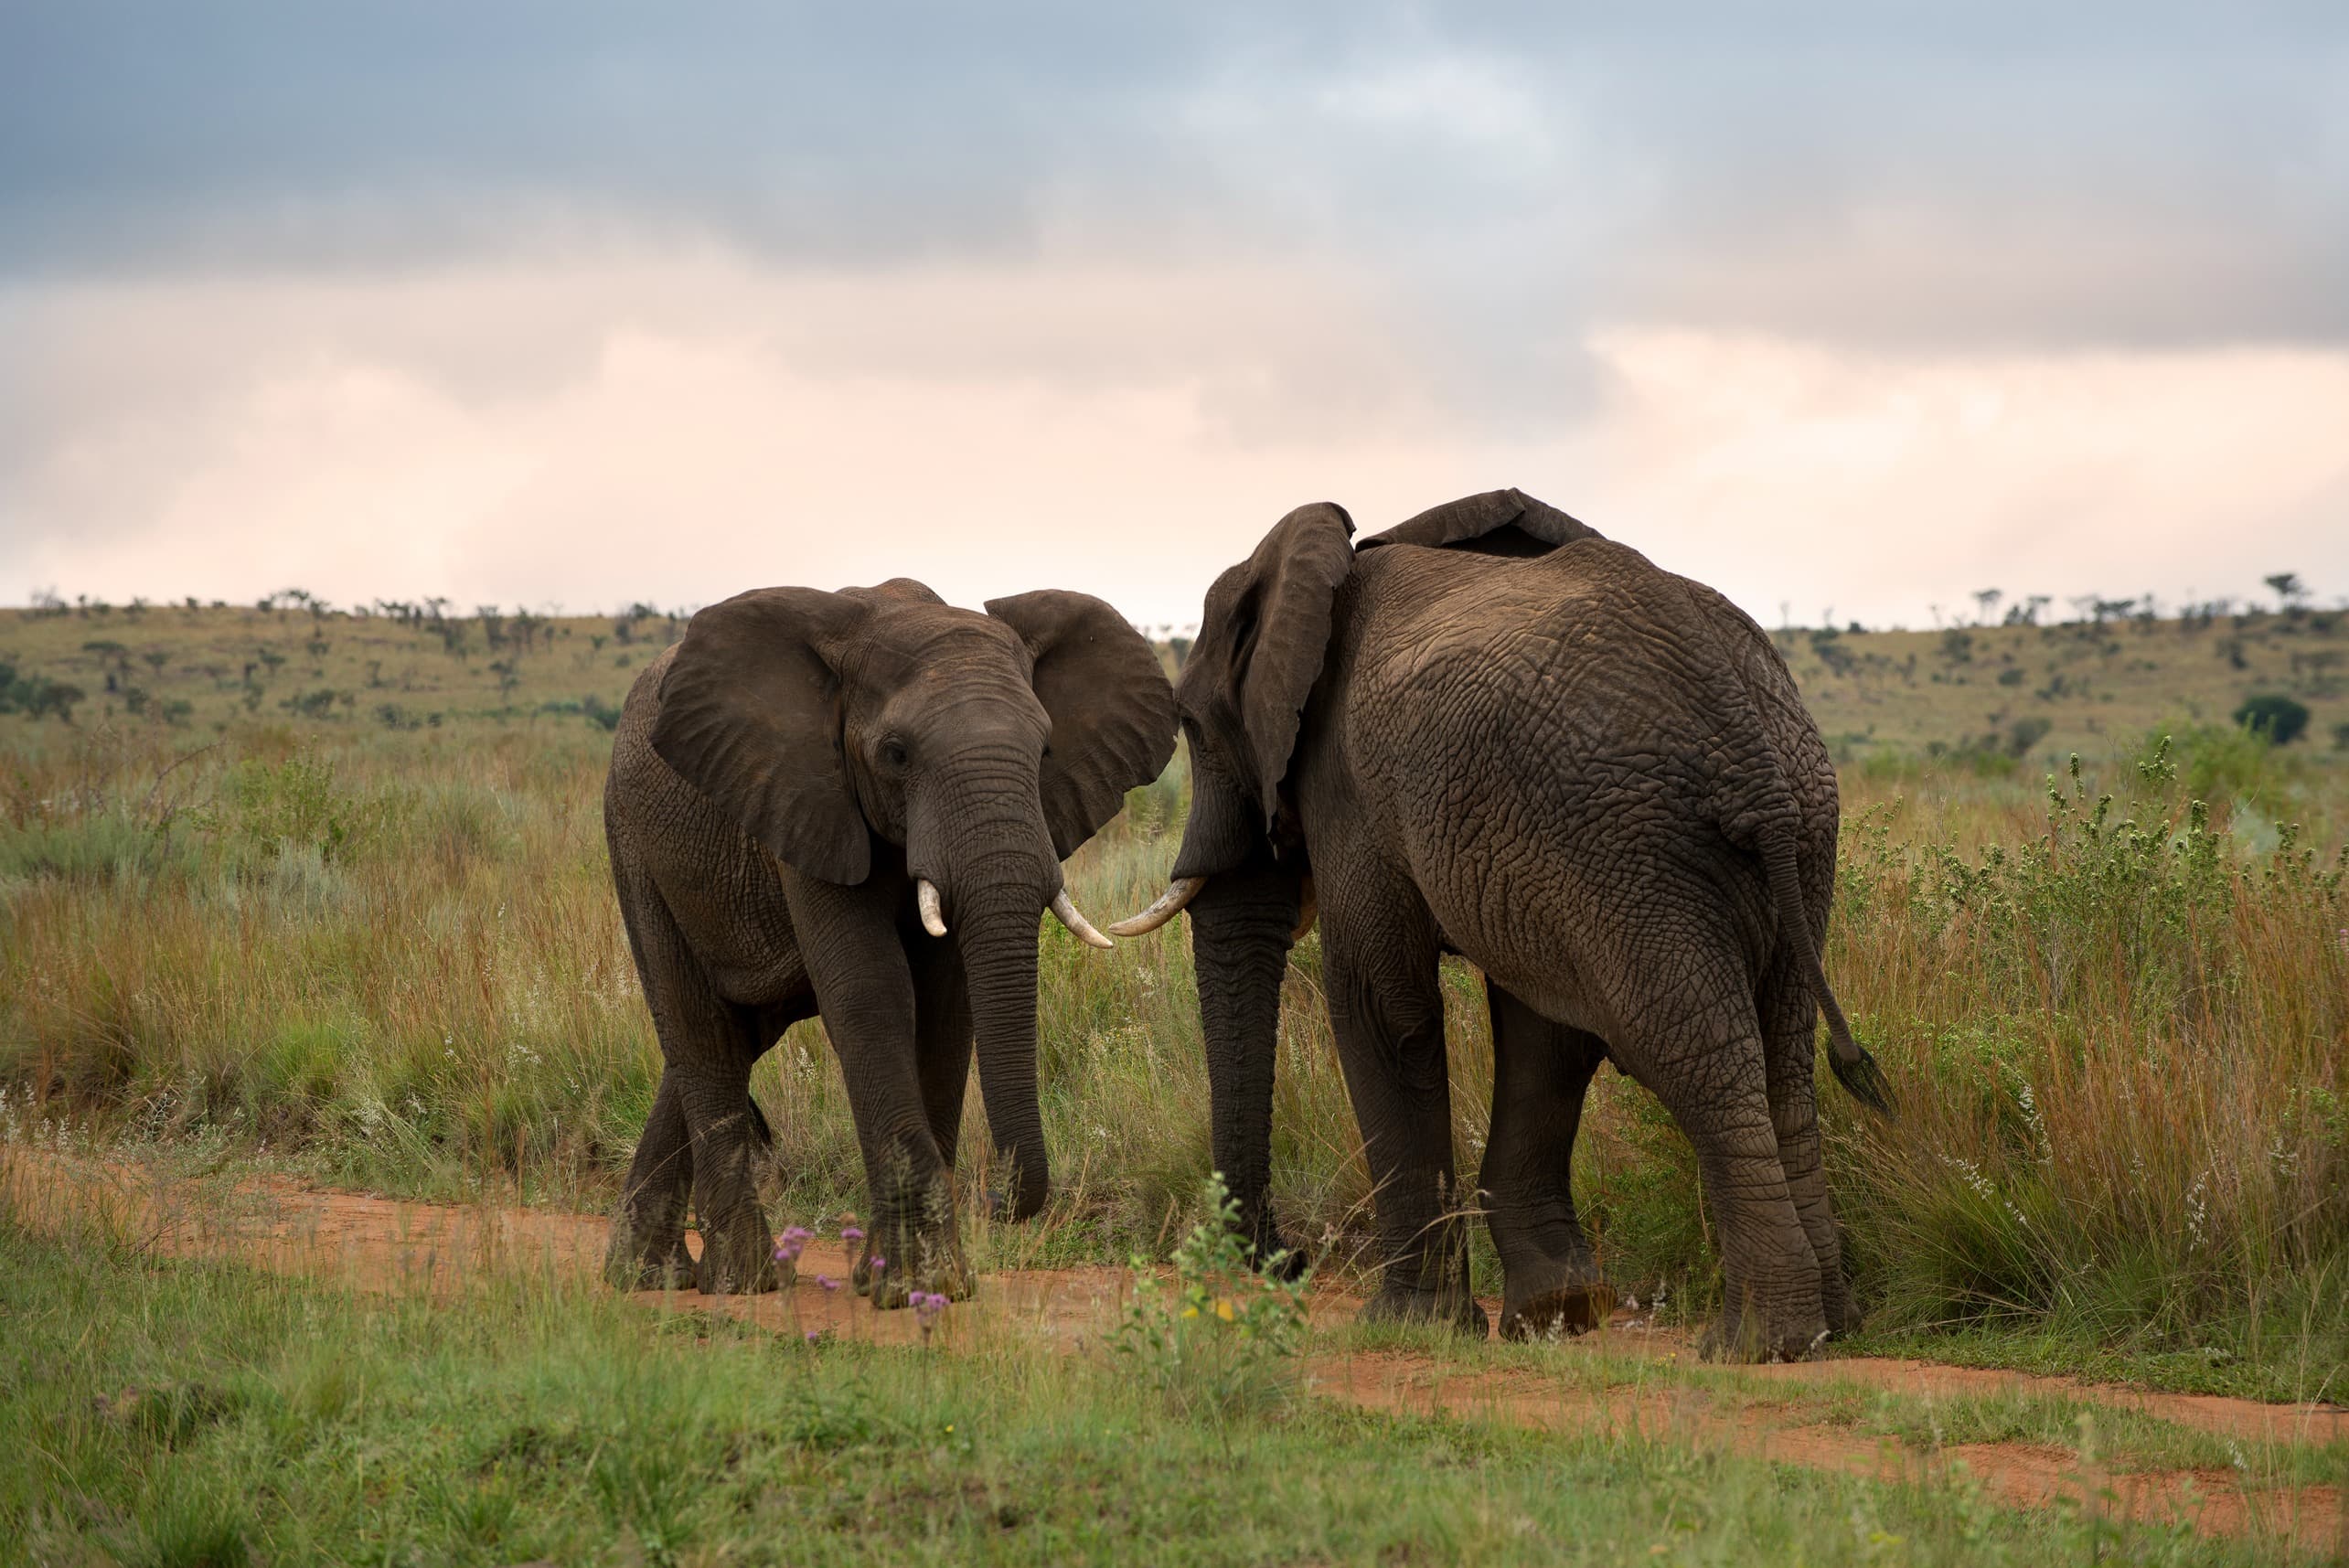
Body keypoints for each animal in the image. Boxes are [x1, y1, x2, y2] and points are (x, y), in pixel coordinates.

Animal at [602, 576, 1175, 1304]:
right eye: (896, 755)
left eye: (1045, 752)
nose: (995, 1201)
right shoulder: (807, 794)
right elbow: (871, 993)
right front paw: (915, 1285)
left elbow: (946, 1010)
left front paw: (918, 1282)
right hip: (633, 841)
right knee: (698, 1029)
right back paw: (743, 1281)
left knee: (734, 1034)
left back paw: (648, 1274)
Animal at [1112, 489, 1890, 1360]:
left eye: (1191, 726)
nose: (1290, 1261)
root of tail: (1748, 746)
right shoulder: (1535, 851)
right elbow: (1543, 1030)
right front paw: (1557, 1311)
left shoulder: (1358, 789)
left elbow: (1384, 1010)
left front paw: (1410, 1324)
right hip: (1778, 833)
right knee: (1781, 1055)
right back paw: (1828, 1326)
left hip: (1630, 839)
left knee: (1691, 1055)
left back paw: (1756, 1342)